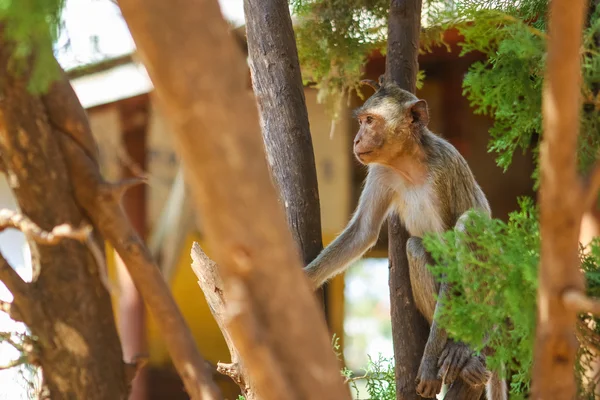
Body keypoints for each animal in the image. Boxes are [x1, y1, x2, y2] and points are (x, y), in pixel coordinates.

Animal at [304, 76, 506, 400]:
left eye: (370, 121)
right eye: (361, 120)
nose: (356, 140)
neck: (409, 164)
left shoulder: (444, 168)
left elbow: (453, 248)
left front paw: (428, 363)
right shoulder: (381, 172)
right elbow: (362, 232)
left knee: (468, 225)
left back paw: (468, 344)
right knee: (415, 247)